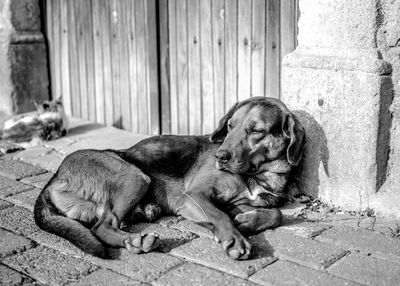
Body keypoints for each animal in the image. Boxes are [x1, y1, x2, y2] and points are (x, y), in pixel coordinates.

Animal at [34, 97, 304, 260]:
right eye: (230, 126)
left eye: (256, 130)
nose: (221, 156)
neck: (258, 175)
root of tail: (56, 175)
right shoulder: (193, 196)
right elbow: (220, 216)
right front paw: (235, 239)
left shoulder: (239, 203)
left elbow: (275, 214)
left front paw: (245, 222)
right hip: (134, 176)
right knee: (102, 225)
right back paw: (137, 240)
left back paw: (141, 227)